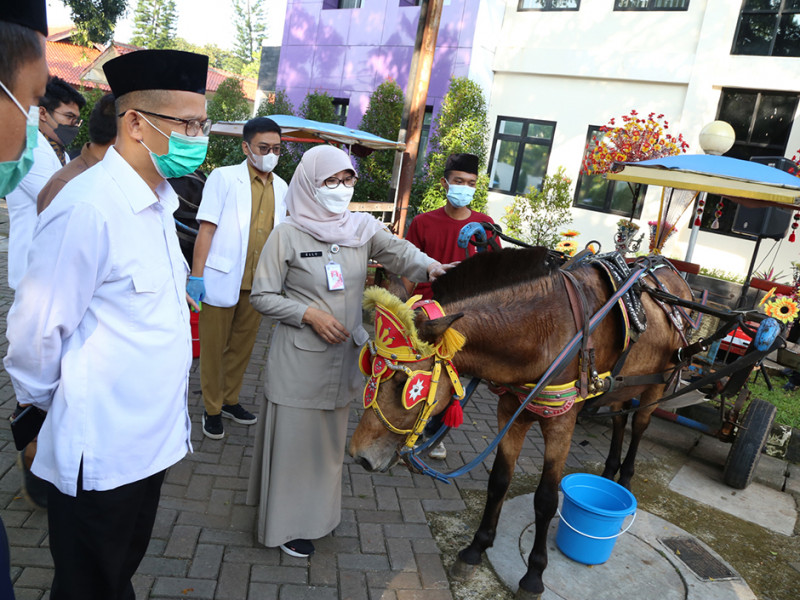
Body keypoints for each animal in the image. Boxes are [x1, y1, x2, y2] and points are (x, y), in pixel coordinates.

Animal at [349, 247, 693, 599]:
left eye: (404, 384)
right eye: (368, 365)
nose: (360, 455)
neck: (548, 330)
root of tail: (670, 271)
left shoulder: (561, 423)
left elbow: (547, 499)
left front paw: (534, 574)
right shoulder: (510, 410)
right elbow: (499, 480)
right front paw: (476, 549)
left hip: (657, 384)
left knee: (638, 426)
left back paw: (624, 479)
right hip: (623, 387)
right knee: (621, 419)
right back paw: (609, 472)